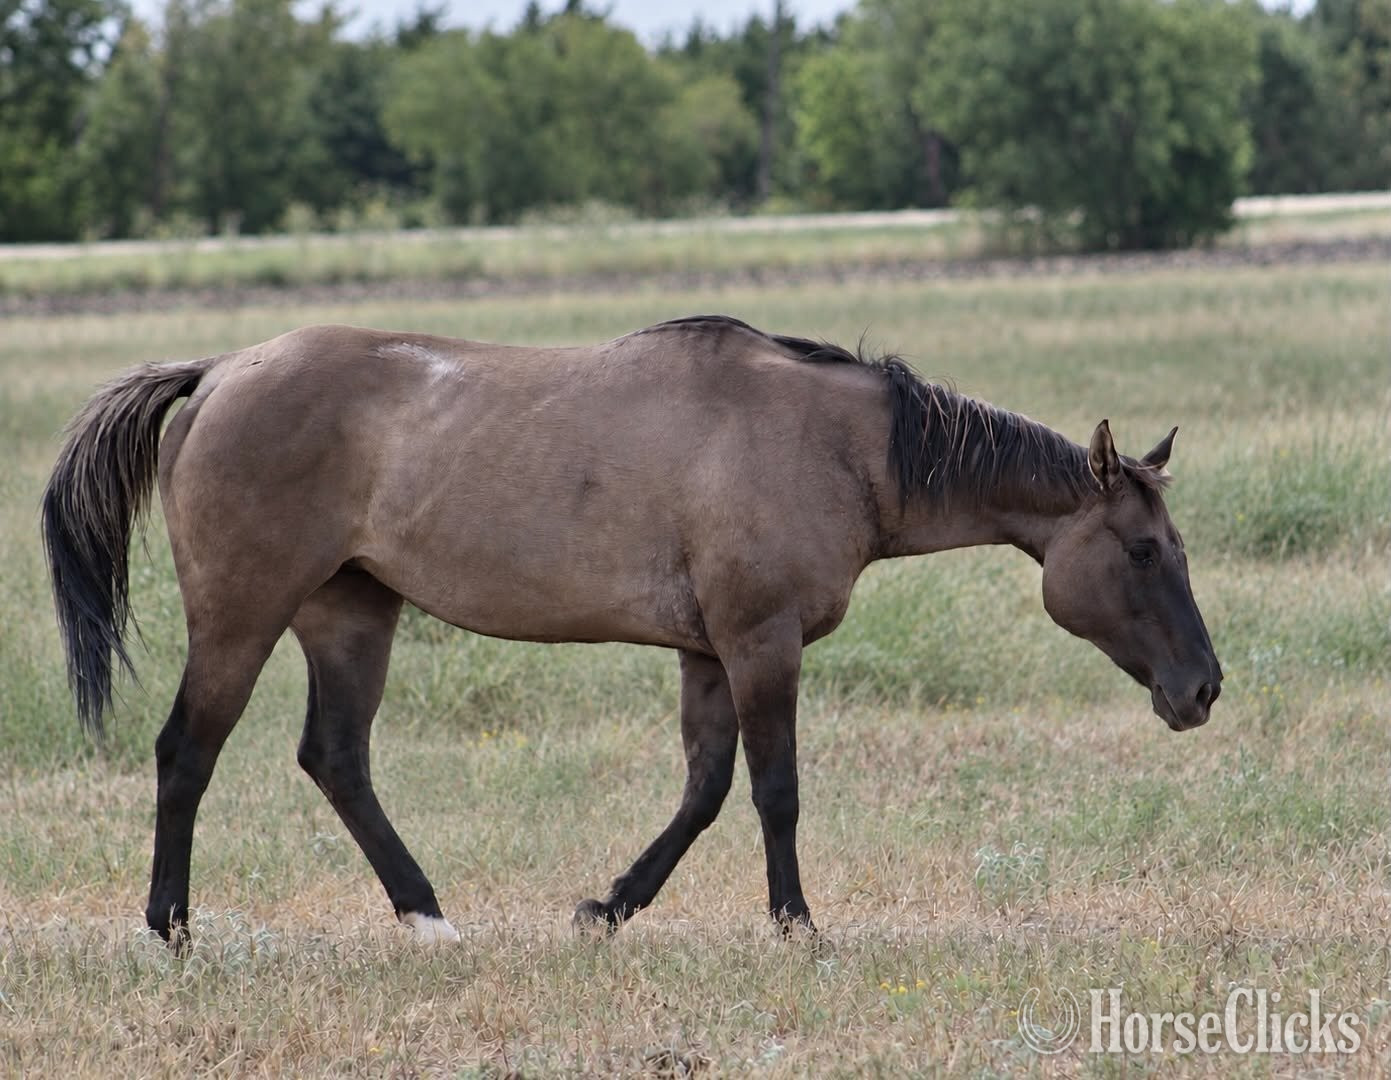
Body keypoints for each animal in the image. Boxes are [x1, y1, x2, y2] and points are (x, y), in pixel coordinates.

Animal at [41, 314, 1221, 945]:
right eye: (1141, 552)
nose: (1201, 687)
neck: (842, 448)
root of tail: (215, 374)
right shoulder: (759, 642)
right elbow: (773, 791)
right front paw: (795, 924)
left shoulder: (707, 652)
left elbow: (701, 794)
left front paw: (608, 907)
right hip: (242, 615)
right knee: (187, 753)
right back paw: (171, 927)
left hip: (350, 615)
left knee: (335, 759)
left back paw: (428, 917)